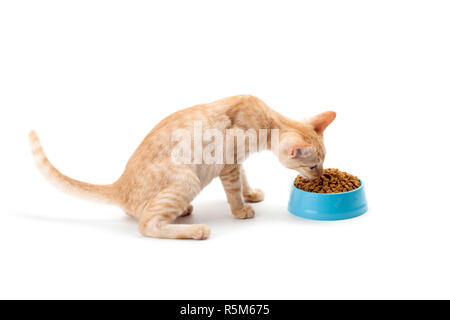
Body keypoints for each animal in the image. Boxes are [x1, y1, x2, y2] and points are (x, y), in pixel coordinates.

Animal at [29, 95, 334, 240]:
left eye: (322, 164)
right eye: (312, 166)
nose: (320, 176)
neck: (266, 122)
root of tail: (119, 185)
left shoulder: (235, 161)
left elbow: (245, 179)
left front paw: (251, 195)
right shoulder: (228, 163)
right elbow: (234, 191)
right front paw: (241, 210)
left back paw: (185, 212)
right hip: (187, 180)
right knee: (147, 224)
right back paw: (195, 230)